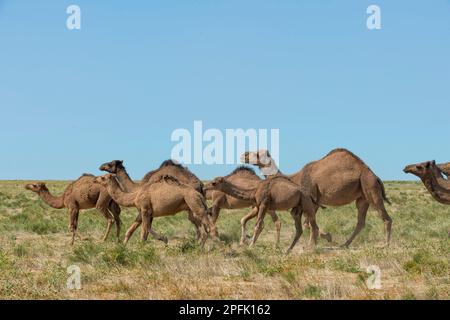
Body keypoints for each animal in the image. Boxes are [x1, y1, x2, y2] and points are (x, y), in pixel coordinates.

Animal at [241, 148, 392, 248]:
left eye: (257, 153)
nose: (244, 155)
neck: (295, 178)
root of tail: (376, 176)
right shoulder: (315, 201)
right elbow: (309, 224)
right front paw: (322, 239)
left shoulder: (311, 198)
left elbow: (308, 224)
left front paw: (313, 243)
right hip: (362, 197)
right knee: (360, 222)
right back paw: (344, 244)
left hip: (370, 187)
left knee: (385, 217)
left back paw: (385, 245)